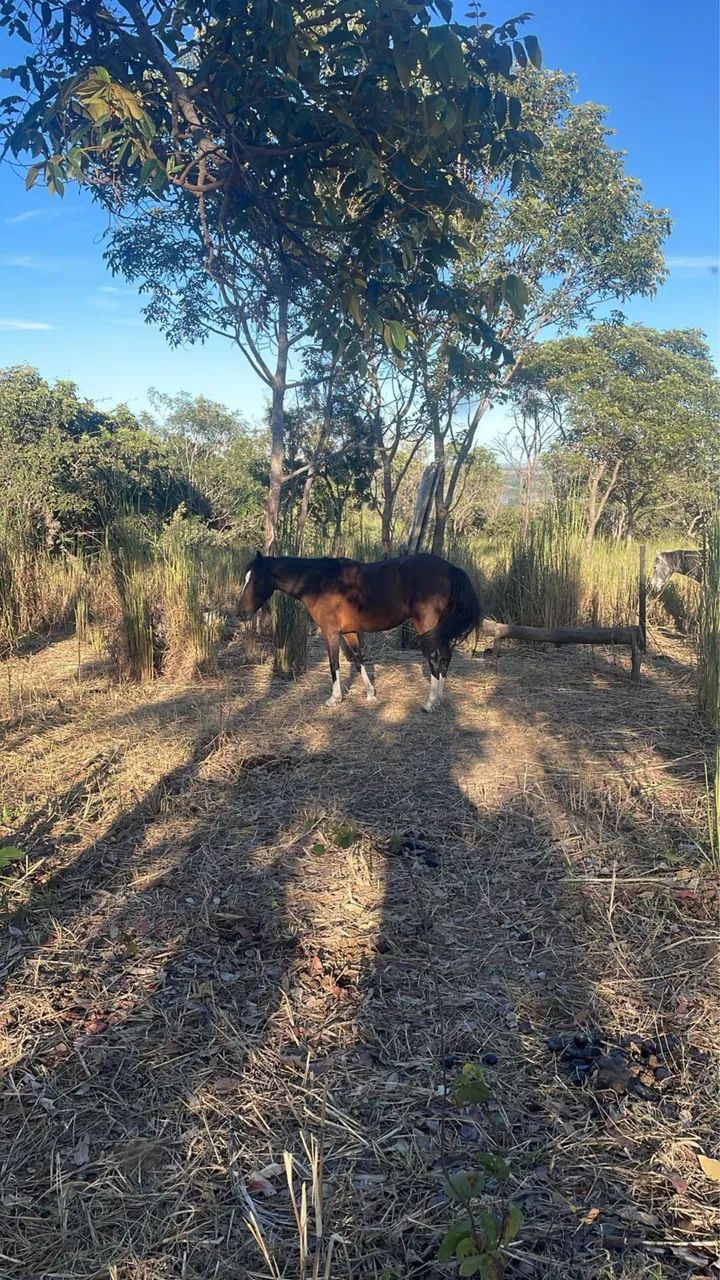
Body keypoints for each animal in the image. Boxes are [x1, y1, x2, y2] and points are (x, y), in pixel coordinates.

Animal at [237, 551, 483, 712]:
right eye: (245, 578)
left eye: (256, 580)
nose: (241, 613)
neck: (319, 581)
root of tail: (450, 569)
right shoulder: (350, 632)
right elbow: (358, 659)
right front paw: (370, 694)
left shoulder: (330, 632)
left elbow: (334, 664)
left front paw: (335, 698)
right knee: (445, 657)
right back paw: (439, 698)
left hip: (428, 624)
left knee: (435, 657)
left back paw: (430, 703)